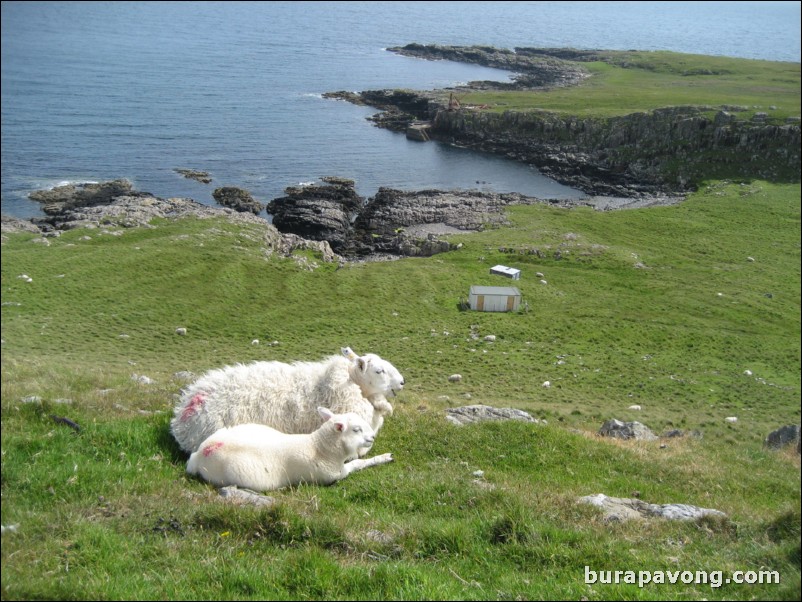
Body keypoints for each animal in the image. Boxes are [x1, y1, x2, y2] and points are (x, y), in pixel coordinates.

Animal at [184, 406, 390, 490]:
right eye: (356, 429)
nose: (372, 437)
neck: (319, 447)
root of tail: (200, 454)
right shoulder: (334, 475)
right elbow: (357, 464)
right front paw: (383, 458)